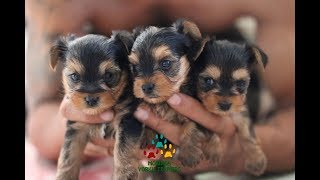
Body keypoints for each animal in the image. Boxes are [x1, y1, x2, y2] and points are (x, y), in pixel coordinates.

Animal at [49, 31, 142, 179]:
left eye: (109, 75)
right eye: (74, 76)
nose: (91, 99)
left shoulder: (127, 120)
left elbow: (124, 151)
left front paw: (124, 175)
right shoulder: (76, 126)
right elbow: (68, 156)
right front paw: (64, 176)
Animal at [127, 18, 210, 167]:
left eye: (165, 63)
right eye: (135, 67)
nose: (146, 87)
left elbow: (191, 126)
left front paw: (189, 154)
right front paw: (145, 135)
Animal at [195, 38, 270, 176]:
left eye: (241, 83)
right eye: (208, 81)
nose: (225, 105)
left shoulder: (241, 110)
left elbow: (247, 133)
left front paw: (255, 159)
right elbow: (207, 128)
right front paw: (214, 149)